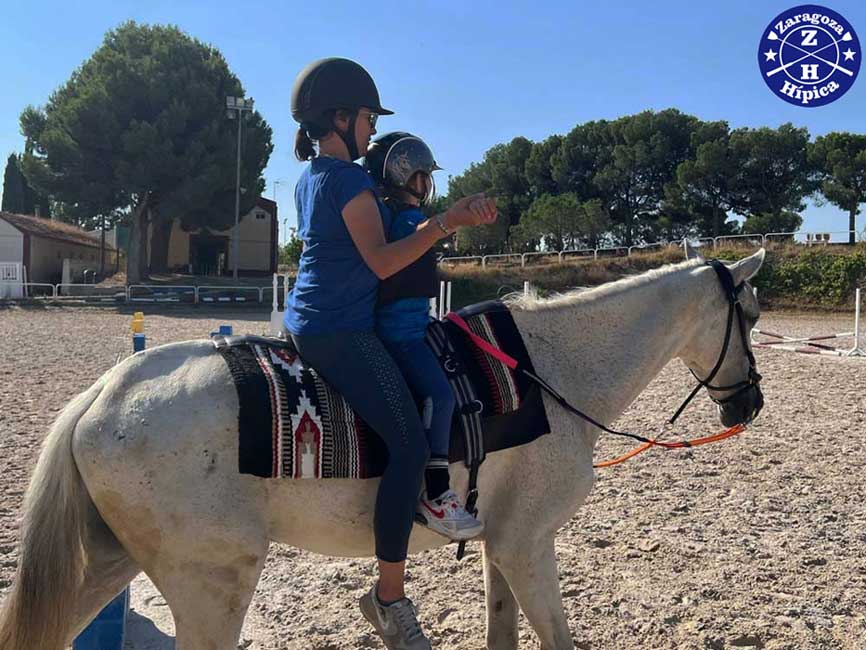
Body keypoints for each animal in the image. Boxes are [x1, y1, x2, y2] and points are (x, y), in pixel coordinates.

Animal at [0, 247, 765, 650]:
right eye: (752, 316)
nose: (749, 404)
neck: (547, 371)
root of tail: (103, 395)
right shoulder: (526, 543)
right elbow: (553, 635)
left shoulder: (503, 544)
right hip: (213, 582)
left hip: (108, 564)